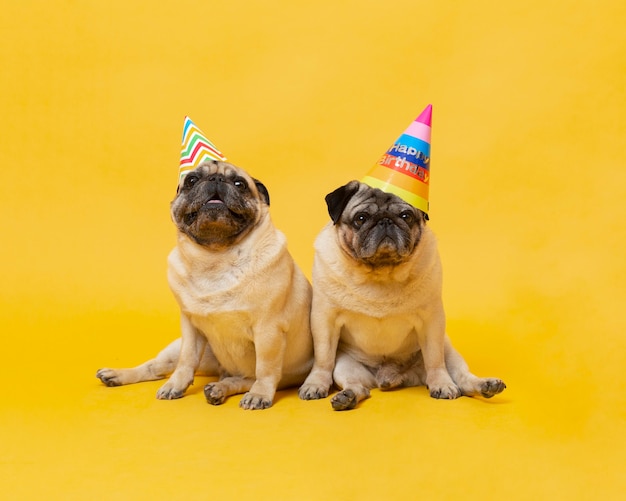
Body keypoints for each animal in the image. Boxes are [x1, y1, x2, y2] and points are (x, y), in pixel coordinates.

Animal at [97, 161, 312, 410]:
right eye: (191, 180)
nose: (216, 179)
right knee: (155, 368)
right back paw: (118, 375)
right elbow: (186, 360)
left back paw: (219, 389)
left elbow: (266, 369)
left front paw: (260, 394)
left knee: (243, 380)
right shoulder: (190, 329)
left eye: (239, 183)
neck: (215, 258)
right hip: (180, 349)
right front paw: (176, 385)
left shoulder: (268, 330)